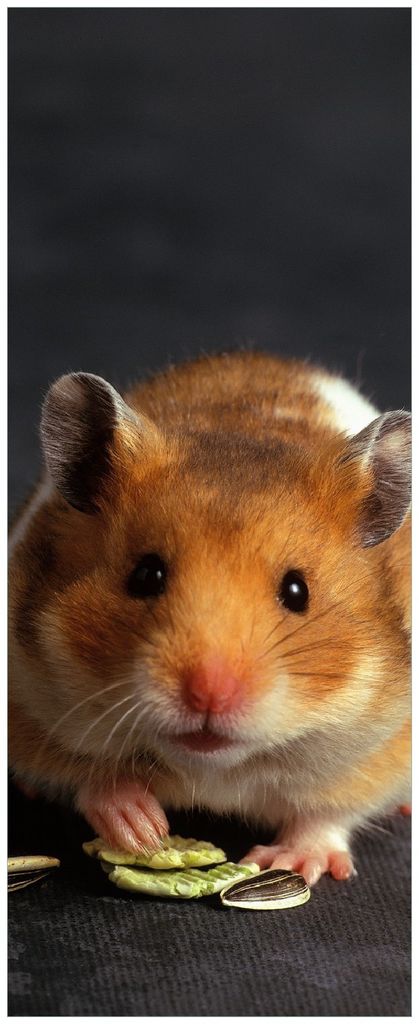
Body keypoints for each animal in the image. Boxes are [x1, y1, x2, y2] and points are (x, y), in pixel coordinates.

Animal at [8, 350, 411, 885]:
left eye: (297, 591)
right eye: (146, 574)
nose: (208, 696)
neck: (213, 766)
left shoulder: (381, 746)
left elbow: (327, 814)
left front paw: (287, 863)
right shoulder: (26, 697)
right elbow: (87, 776)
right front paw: (142, 830)